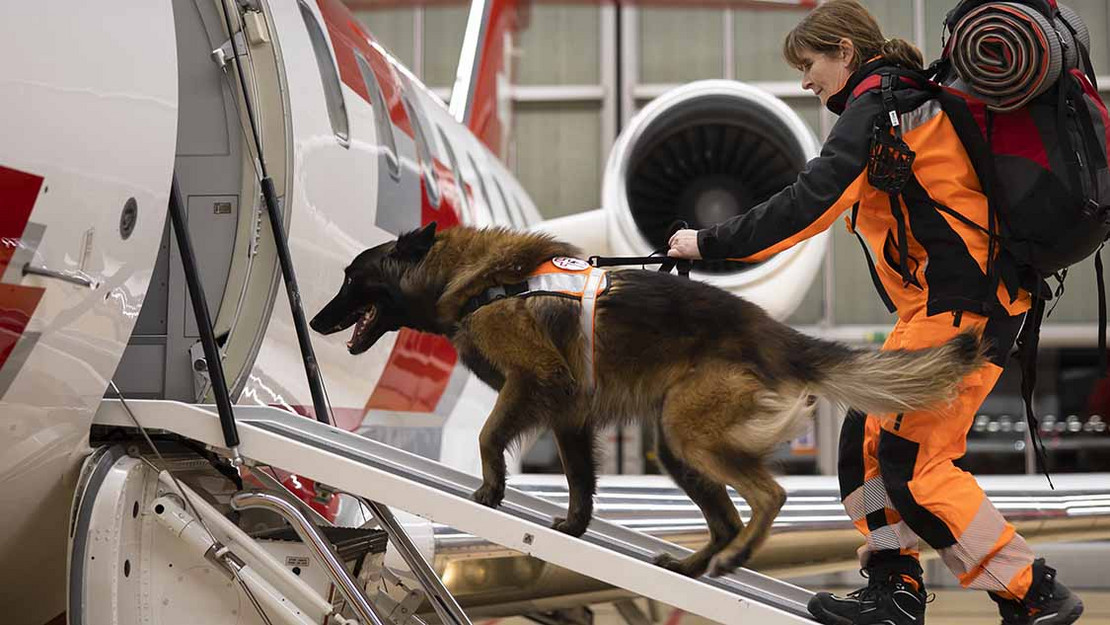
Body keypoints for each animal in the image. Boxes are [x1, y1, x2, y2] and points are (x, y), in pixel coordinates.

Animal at [310, 224, 981, 577]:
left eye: (349, 278)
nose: (315, 321)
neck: (471, 278)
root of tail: (775, 334)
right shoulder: (570, 413)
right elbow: (580, 479)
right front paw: (575, 527)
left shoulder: (533, 380)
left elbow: (487, 436)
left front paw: (490, 492)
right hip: (675, 444)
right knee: (728, 513)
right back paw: (697, 564)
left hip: (689, 434)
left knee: (770, 494)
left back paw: (736, 558)